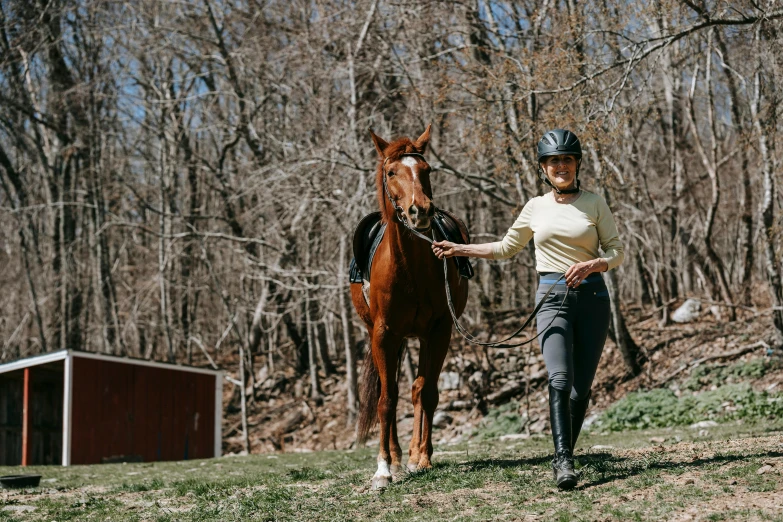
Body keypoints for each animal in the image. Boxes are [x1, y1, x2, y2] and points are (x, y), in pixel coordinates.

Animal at [354, 126, 472, 488]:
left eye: (427, 170)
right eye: (392, 172)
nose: (420, 210)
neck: (410, 268)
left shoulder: (439, 331)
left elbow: (427, 392)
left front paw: (421, 457)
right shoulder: (384, 333)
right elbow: (387, 398)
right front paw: (383, 468)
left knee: (417, 389)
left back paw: (412, 455)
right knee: (388, 389)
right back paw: (393, 457)